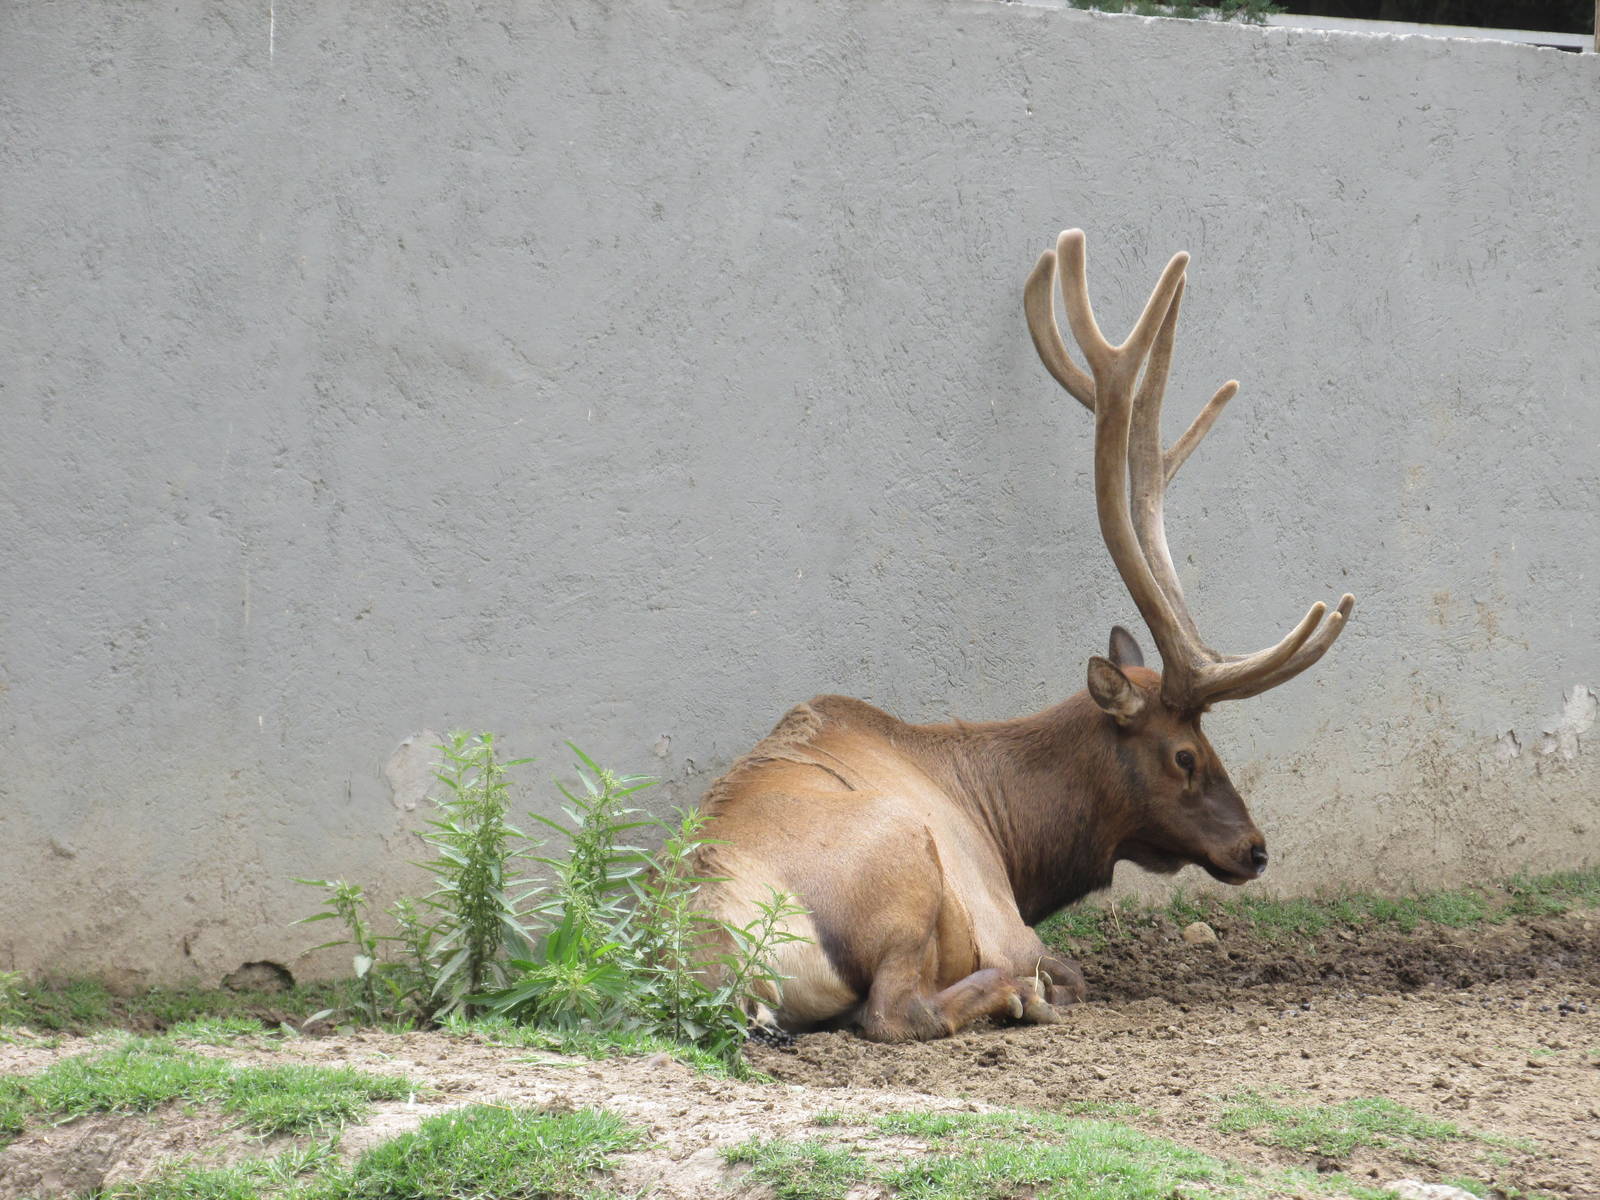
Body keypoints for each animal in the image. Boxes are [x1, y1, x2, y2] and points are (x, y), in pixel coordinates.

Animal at [693, 230, 1355, 1042]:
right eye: (1184, 754)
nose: (1255, 848)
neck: (1013, 833)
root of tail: (722, 962)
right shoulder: (1001, 914)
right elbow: (1071, 971)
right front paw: (1040, 987)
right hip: (906, 863)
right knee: (897, 1012)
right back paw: (1015, 994)